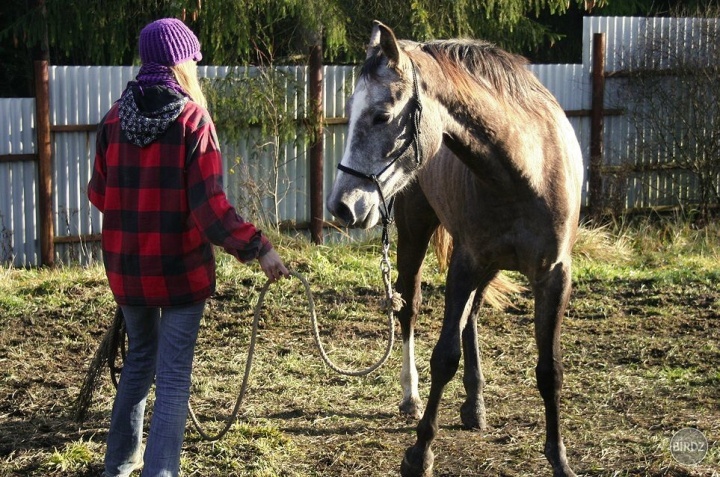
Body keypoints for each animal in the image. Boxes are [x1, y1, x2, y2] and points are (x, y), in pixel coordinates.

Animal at [326, 20, 584, 474]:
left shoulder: (554, 275)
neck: (526, 170)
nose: (341, 206)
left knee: (472, 317)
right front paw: (420, 452)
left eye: (382, 115)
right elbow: (444, 357)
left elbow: (549, 369)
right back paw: (411, 398)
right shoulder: (466, 265)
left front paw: (559, 458)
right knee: (410, 307)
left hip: (489, 266)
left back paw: (474, 404)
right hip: (415, 234)